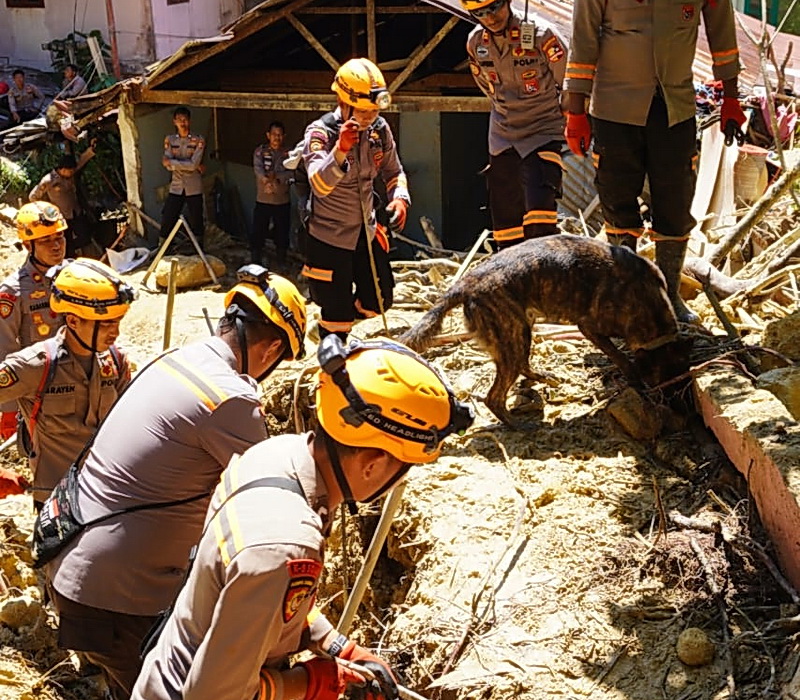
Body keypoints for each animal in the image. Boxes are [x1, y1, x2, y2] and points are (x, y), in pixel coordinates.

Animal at [399, 234, 691, 425]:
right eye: (669, 382)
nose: (681, 412)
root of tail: (465, 283)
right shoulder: (590, 328)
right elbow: (621, 357)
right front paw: (633, 378)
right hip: (514, 333)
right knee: (494, 397)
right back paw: (517, 425)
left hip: (521, 330)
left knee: (521, 367)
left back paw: (543, 378)